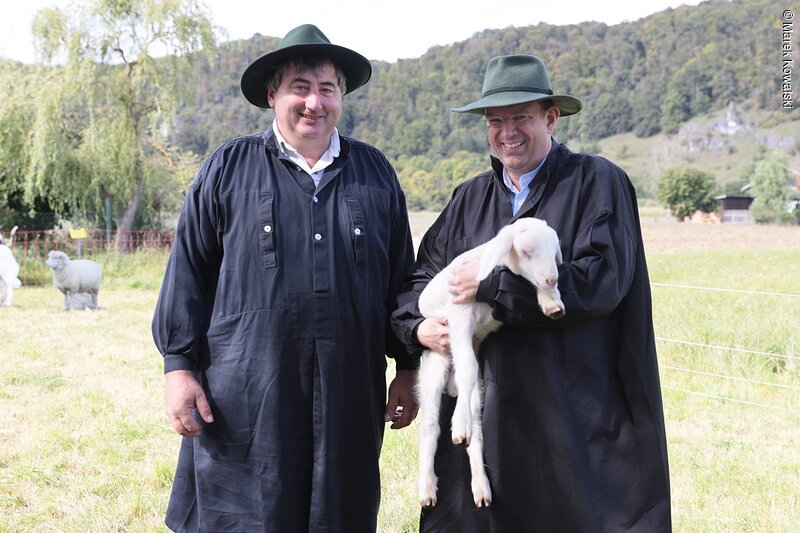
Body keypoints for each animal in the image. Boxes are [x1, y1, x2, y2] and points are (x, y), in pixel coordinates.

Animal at [416, 216, 564, 508]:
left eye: (555, 251)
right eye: (526, 252)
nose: (552, 278)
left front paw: (552, 301)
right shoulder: (459, 314)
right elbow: (467, 367)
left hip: (477, 387)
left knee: (476, 427)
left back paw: (480, 487)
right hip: (435, 361)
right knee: (430, 425)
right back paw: (427, 488)